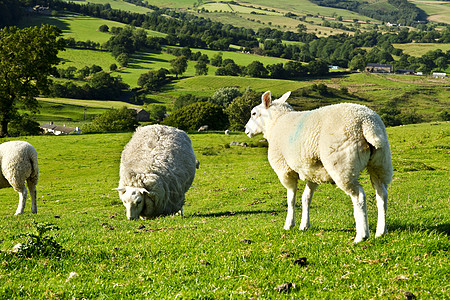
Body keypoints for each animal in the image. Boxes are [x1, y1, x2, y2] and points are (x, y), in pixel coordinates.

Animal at [244, 90, 392, 243]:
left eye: (253, 113)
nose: (246, 130)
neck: (276, 122)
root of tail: (366, 122)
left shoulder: (285, 170)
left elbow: (291, 199)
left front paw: (289, 224)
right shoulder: (312, 171)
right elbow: (306, 198)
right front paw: (304, 225)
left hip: (342, 166)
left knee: (359, 197)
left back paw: (362, 235)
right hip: (381, 163)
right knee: (382, 195)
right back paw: (381, 231)